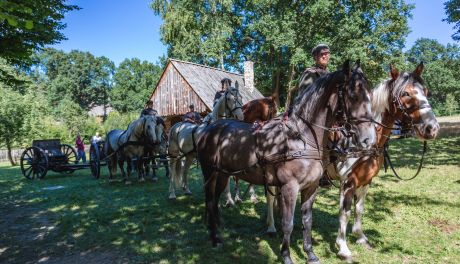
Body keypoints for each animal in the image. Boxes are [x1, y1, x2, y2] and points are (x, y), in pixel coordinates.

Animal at [196, 60, 376, 264]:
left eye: (369, 95)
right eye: (353, 96)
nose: (368, 139)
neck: (302, 137)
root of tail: (208, 128)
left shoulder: (311, 187)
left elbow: (307, 221)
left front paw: (310, 253)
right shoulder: (290, 187)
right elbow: (288, 223)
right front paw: (286, 255)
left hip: (223, 175)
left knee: (215, 199)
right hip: (210, 173)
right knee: (210, 200)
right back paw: (215, 238)